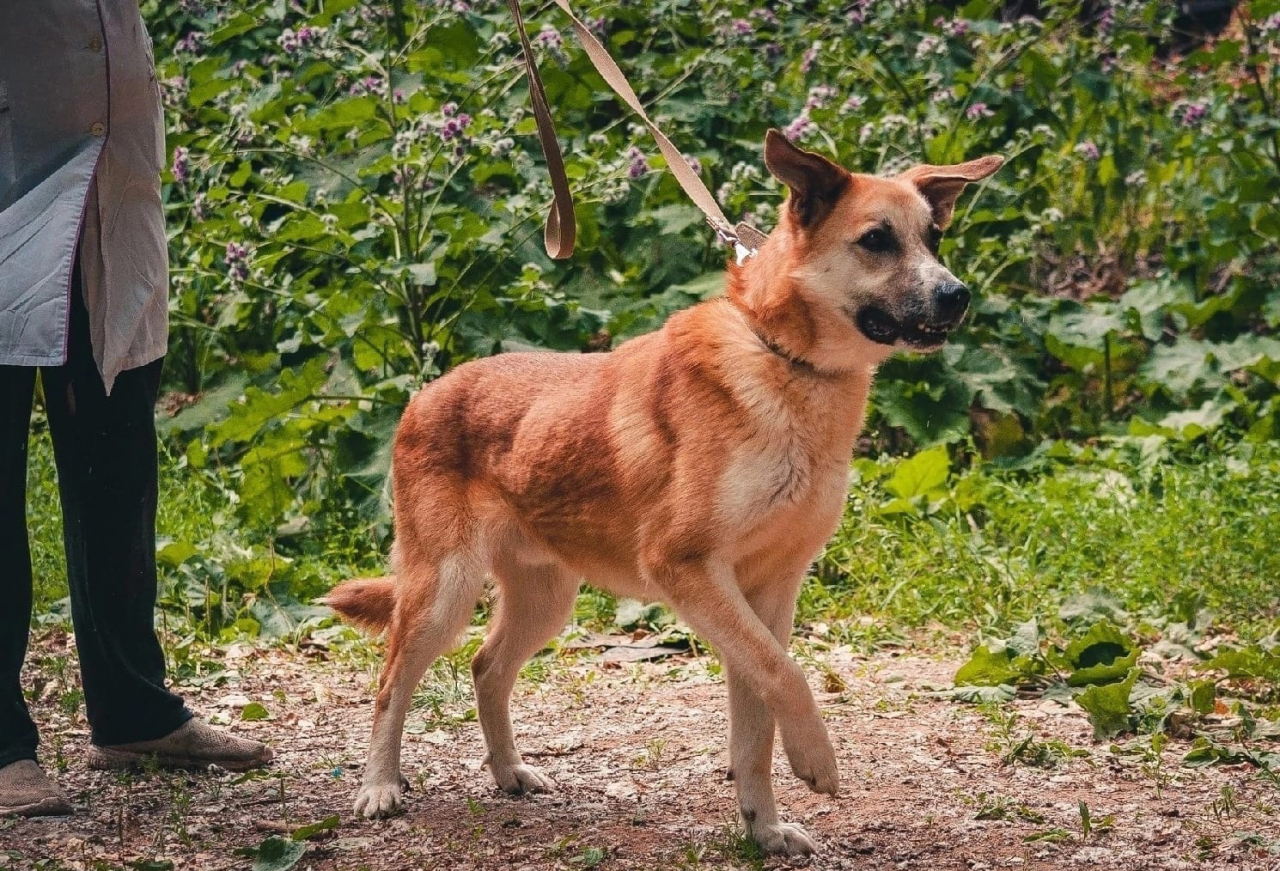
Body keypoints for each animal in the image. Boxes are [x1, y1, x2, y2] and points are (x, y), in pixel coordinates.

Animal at [327, 131, 998, 855]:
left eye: (934, 237)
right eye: (876, 239)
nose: (957, 295)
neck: (787, 365)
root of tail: (425, 392)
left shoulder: (767, 591)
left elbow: (759, 714)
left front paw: (764, 829)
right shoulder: (688, 569)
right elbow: (786, 676)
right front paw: (815, 759)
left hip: (545, 598)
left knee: (486, 666)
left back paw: (508, 772)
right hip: (442, 593)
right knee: (391, 683)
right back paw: (379, 786)